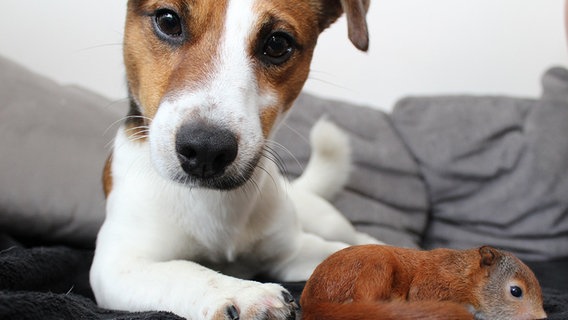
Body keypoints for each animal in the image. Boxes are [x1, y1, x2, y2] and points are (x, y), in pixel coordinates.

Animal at [91, 1, 380, 318]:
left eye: (277, 44)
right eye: (168, 21)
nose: (206, 149)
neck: (216, 203)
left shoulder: (293, 250)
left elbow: (338, 255)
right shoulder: (117, 264)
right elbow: (184, 270)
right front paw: (244, 293)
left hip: (326, 221)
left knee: (352, 236)